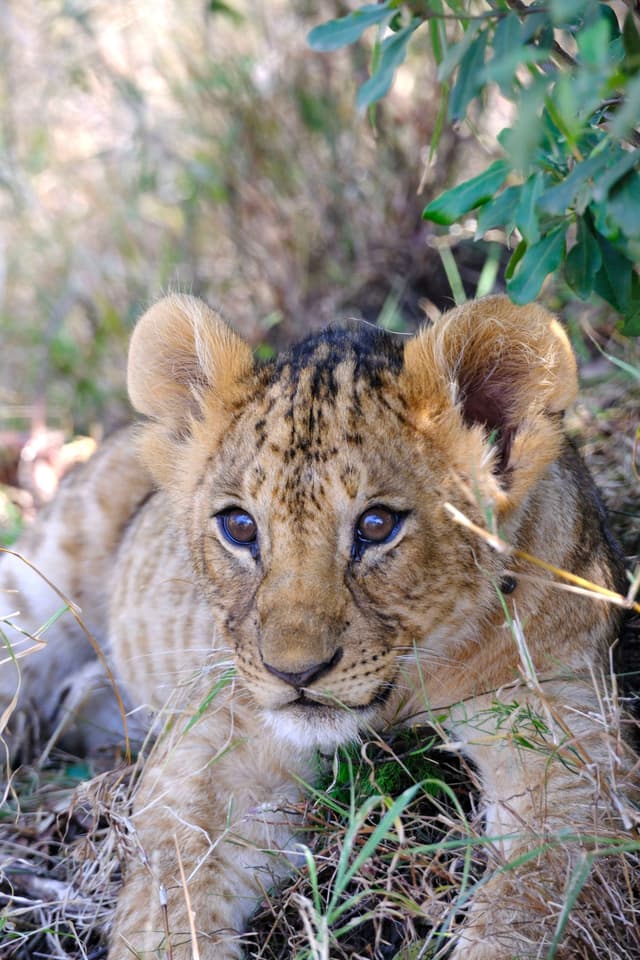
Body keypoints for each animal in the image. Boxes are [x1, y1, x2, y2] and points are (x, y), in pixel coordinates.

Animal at [0, 293, 634, 959]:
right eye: (240, 527)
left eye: (377, 525)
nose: (295, 673)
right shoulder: (221, 742)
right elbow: (172, 899)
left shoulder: (562, 741)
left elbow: (536, 903)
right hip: (48, 566)